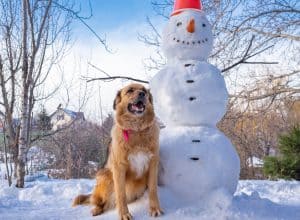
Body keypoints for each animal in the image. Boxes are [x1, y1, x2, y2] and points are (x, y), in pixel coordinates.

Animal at [72, 83, 163, 219]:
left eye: (144, 91)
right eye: (130, 90)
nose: (142, 94)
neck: (136, 131)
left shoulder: (153, 164)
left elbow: (153, 189)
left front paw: (154, 208)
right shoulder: (119, 167)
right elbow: (121, 194)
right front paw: (124, 214)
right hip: (105, 176)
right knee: (99, 202)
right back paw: (96, 210)